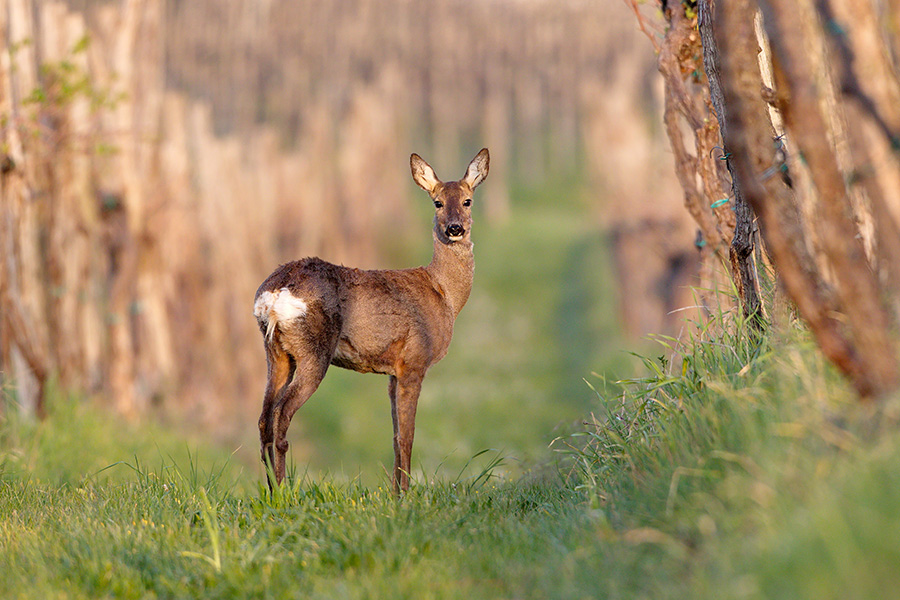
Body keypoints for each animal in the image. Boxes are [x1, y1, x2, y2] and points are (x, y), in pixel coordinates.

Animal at [253, 148, 492, 494]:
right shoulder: (414, 361)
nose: (454, 228)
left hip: (276, 352)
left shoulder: (393, 372)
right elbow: (407, 437)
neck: (444, 293)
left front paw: (395, 492)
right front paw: (406, 494)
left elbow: (394, 436)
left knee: (264, 418)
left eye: (467, 200)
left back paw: (272, 489)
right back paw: (286, 490)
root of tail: (273, 294)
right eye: (437, 202)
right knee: (282, 413)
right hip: (314, 349)